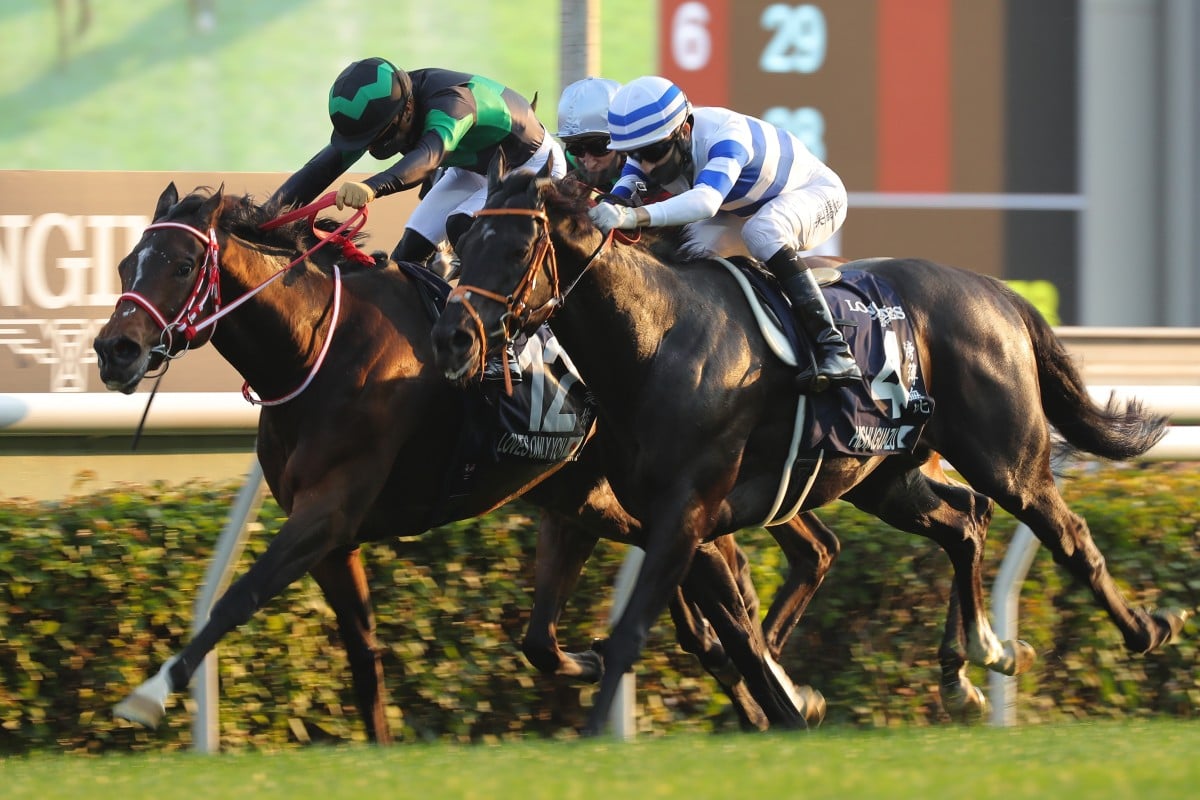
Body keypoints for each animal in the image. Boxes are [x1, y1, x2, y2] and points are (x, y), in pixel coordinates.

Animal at [91, 184, 835, 743]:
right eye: (128, 263)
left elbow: (236, 599)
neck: (316, 348)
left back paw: (775, 688)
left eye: (182, 265)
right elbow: (364, 653)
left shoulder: (328, 512)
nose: (115, 350)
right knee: (723, 586)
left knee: (731, 581)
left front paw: (148, 694)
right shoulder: (334, 538)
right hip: (597, 498)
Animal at [432, 158, 1190, 738]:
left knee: (1066, 534)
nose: (452, 339)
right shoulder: (659, 517)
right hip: (884, 473)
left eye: (514, 251)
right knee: (963, 523)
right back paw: (969, 665)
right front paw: (787, 707)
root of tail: (997, 291)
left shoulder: (686, 512)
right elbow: (726, 629)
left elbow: (657, 628)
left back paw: (1143, 630)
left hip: (1007, 457)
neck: (657, 341)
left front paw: (601, 727)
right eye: (463, 243)